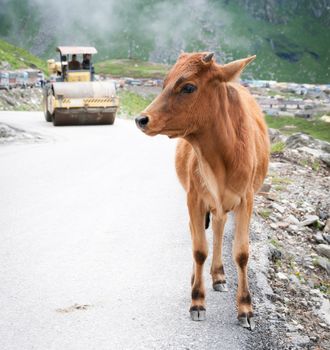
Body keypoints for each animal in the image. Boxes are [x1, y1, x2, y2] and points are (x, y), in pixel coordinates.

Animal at [135, 50, 270, 330]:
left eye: (188, 87)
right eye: (164, 83)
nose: (141, 119)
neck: (220, 160)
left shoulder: (247, 199)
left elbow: (241, 253)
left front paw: (245, 308)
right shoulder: (194, 198)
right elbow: (199, 250)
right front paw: (197, 301)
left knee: (218, 229)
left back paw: (218, 275)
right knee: (201, 234)